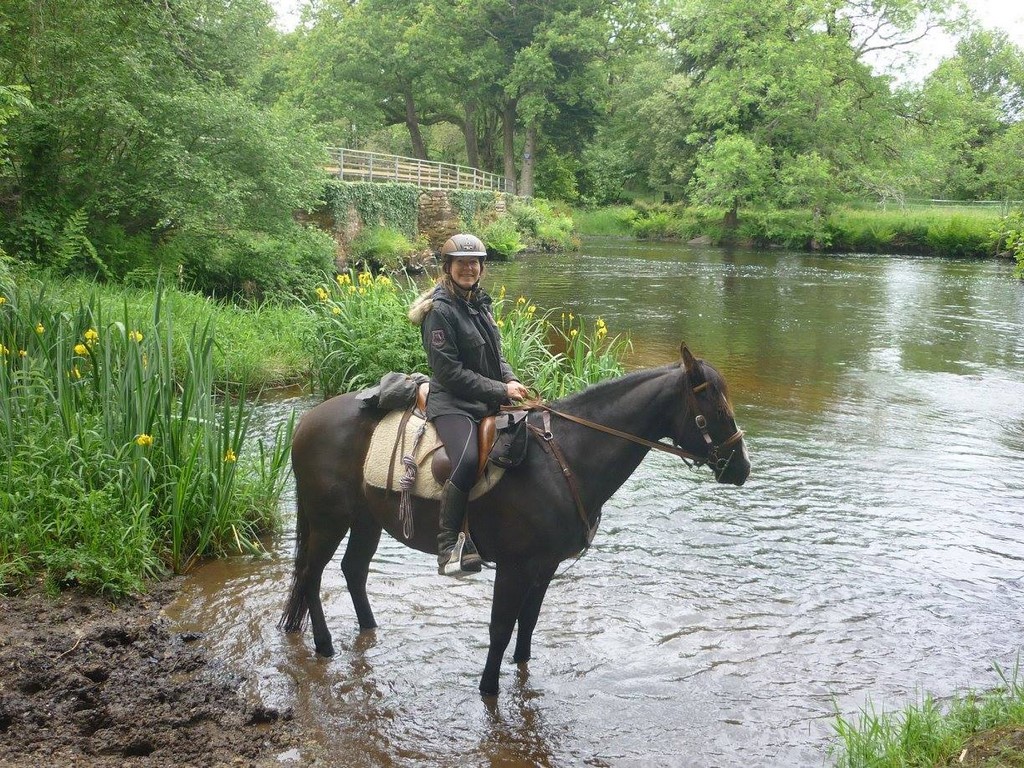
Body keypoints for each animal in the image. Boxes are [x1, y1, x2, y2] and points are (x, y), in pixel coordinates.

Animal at [280, 344, 750, 696]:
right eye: (716, 405)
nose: (742, 468)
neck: (565, 458)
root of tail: (308, 421)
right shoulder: (514, 567)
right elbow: (501, 628)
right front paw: (488, 689)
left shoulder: (544, 566)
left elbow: (527, 628)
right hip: (328, 519)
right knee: (311, 574)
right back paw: (323, 645)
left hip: (366, 519)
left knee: (352, 570)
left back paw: (368, 629)